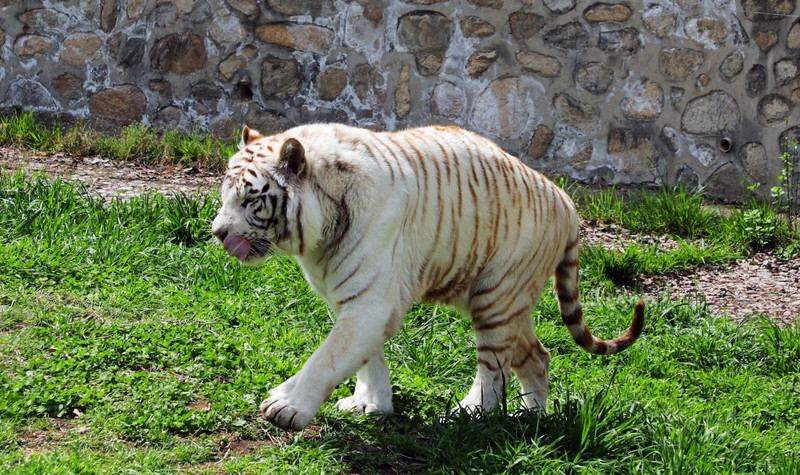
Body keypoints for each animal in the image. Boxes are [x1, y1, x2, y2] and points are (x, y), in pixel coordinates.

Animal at [211, 123, 644, 431]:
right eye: (223, 195)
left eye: (250, 199)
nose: (217, 232)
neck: (315, 236)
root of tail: (566, 202)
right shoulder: (352, 298)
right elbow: (365, 358)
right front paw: (371, 404)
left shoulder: (369, 302)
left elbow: (329, 356)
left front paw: (288, 406)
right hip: (509, 302)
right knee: (538, 354)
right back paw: (531, 417)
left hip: (496, 295)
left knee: (493, 369)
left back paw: (467, 414)